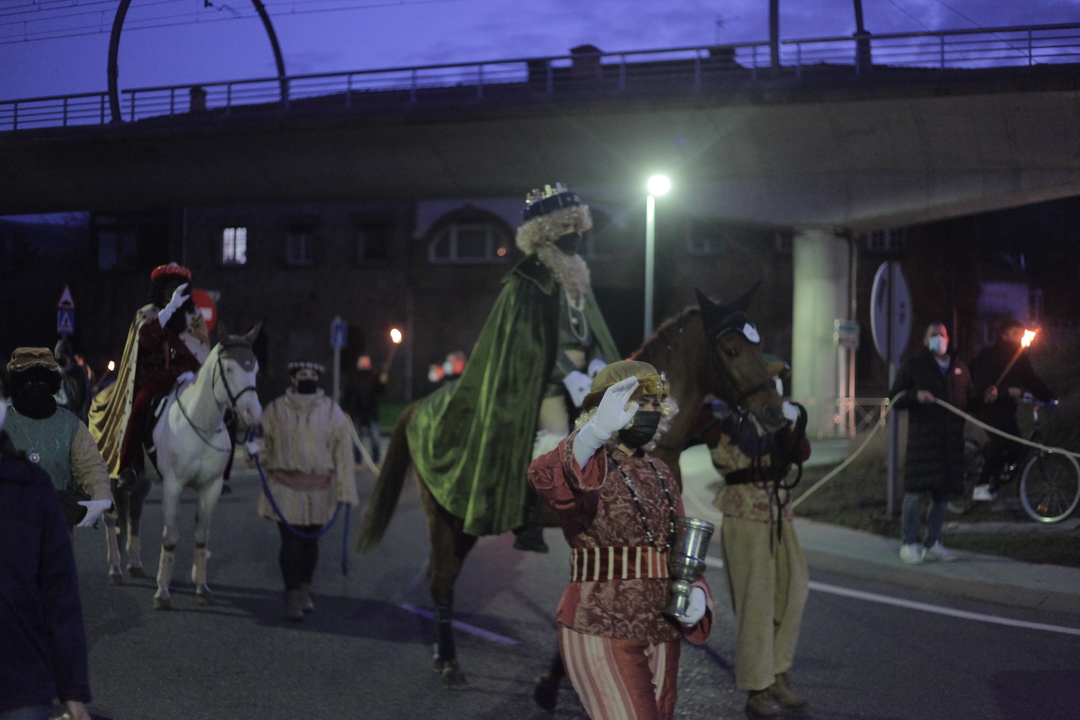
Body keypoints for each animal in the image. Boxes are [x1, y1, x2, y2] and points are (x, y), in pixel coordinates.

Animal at [356, 286, 784, 688]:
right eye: (731, 350)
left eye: (759, 344)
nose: (774, 414)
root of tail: (421, 405)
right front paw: (557, 677)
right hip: (447, 516)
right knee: (440, 580)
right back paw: (447, 662)